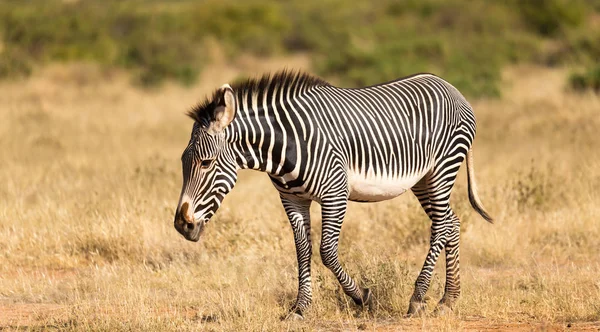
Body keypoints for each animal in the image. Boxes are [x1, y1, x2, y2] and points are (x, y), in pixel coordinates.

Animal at [173, 70, 492, 320]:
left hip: (442, 168)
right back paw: (448, 300)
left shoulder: (335, 193)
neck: (285, 146)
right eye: (183, 162)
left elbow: (326, 251)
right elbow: (302, 251)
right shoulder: (292, 199)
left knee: (442, 226)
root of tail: (452, 88)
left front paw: (362, 297)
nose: (181, 225)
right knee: (452, 223)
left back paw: (418, 298)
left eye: (206, 163)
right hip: (423, 179)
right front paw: (300, 308)